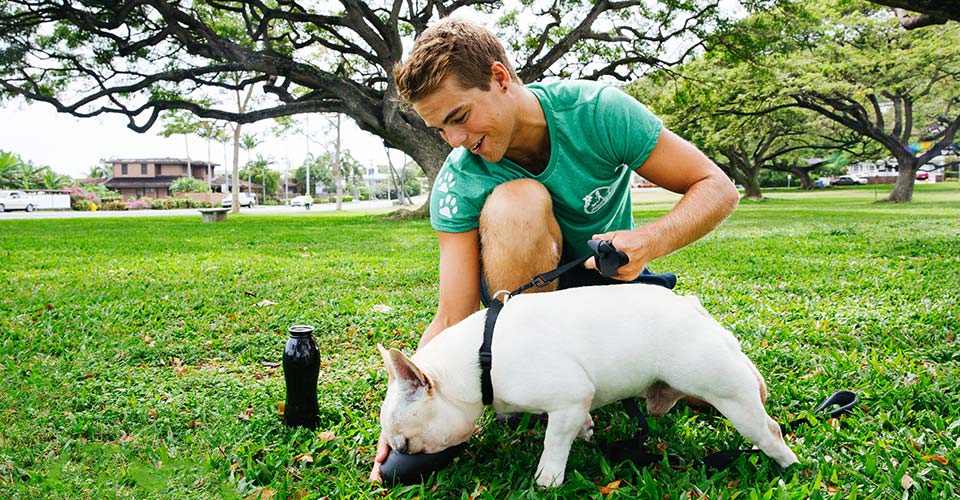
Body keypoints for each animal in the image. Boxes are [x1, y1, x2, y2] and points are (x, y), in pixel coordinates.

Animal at [378, 284, 800, 486]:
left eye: (406, 444)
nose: (394, 462)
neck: (482, 357)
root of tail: (695, 310)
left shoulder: (567, 397)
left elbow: (553, 443)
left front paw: (547, 479)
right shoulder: (574, 404)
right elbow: (575, 426)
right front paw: (586, 433)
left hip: (727, 393)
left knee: (769, 430)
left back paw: (790, 466)